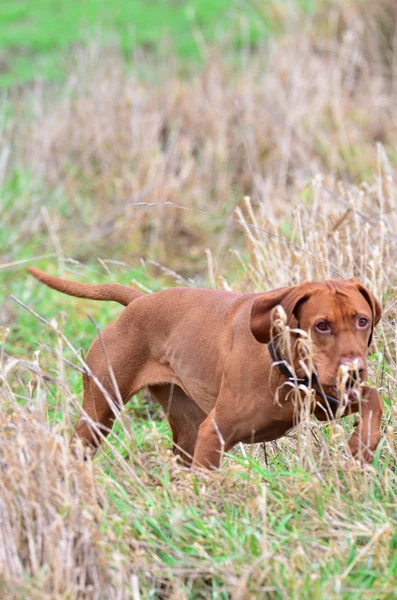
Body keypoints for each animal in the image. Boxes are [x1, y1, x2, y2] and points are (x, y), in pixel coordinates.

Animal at [27, 270, 380, 472]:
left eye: (362, 320)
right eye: (322, 325)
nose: (354, 370)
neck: (286, 367)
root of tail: (140, 301)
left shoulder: (327, 402)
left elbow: (373, 398)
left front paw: (360, 447)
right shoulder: (214, 434)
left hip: (186, 430)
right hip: (98, 417)